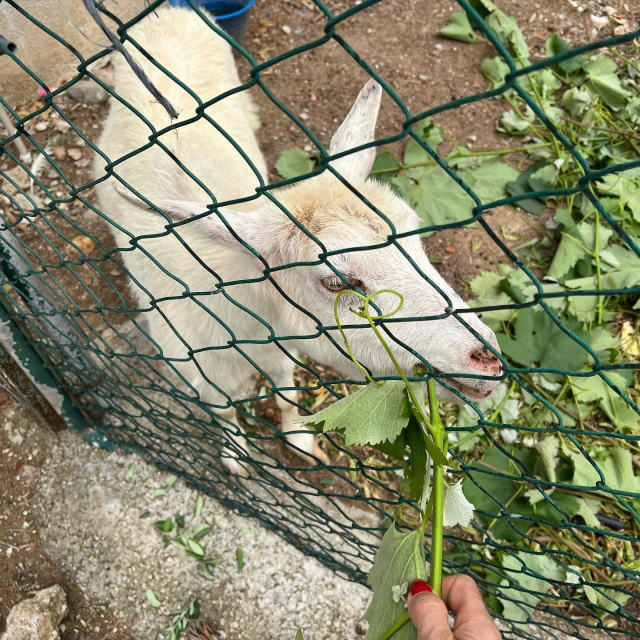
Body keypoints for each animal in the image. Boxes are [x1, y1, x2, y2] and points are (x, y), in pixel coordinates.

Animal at [94, 5, 500, 476]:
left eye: (416, 236)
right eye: (337, 281)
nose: (488, 357)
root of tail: (164, 12)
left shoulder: (284, 349)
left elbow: (287, 396)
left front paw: (300, 441)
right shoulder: (198, 371)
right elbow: (225, 412)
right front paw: (236, 456)